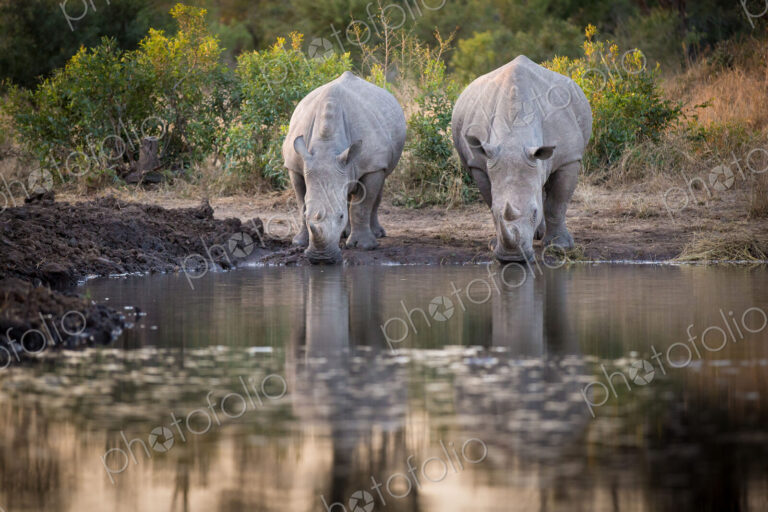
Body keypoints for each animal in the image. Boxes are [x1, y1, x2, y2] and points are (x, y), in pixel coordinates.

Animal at [283, 71, 406, 263]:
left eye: (340, 216)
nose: (321, 258)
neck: (326, 147)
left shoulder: (373, 165)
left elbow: (362, 206)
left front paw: (364, 246)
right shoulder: (295, 166)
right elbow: (301, 203)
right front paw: (299, 242)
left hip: (380, 158)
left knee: (378, 188)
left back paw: (377, 234)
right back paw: (346, 234)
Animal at [452, 56, 592, 262]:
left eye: (534, 213)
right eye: (494, 214)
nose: (513, 258)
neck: (514, 140)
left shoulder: (569, 159)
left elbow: (557, 203)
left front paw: (560, 247)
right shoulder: (478, 163)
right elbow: (490, 198)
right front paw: (493, 244)